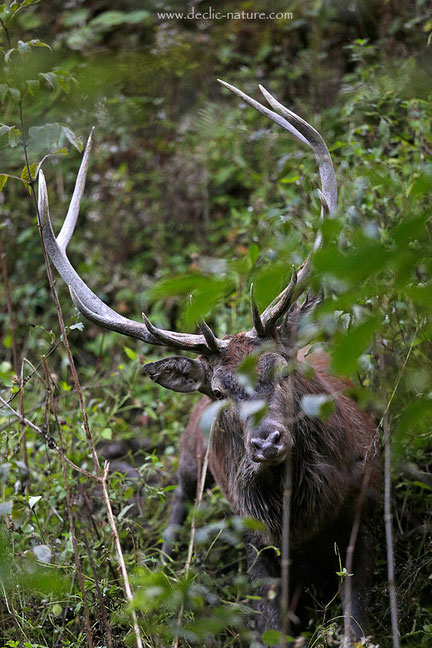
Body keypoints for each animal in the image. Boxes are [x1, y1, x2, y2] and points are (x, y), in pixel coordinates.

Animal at [38, 77, 382, 644]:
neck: (303, 521)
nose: (267, 441)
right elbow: (269, 624)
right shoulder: (256, 541)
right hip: (186, 459)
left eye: (282, 369)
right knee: (175, 510)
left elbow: (358, 620)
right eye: (219, 391)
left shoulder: (364, 504)